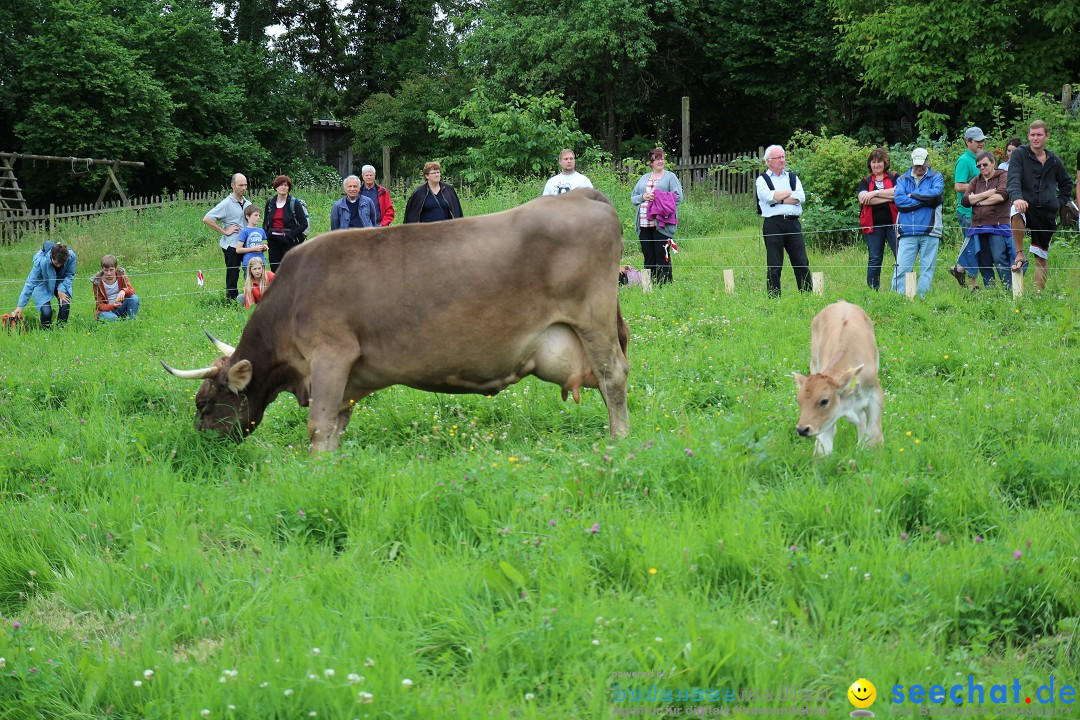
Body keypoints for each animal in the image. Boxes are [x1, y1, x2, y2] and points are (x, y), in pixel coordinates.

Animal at [163, 188, 630, 453]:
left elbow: (318, 427)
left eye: (203, 402)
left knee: (614, 377)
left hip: (594, 322)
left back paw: (619, 444)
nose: (198, 444)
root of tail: (582, 195)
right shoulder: (347, 378)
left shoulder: (331, 354)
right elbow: (336, 427)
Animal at [790, 300, 881, 455]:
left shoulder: (875, 394)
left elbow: (874, 436)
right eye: (798, 401)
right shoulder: (827, 420)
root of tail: (842, 303)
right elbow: (823, 448)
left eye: (824, 401)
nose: (802, 429)